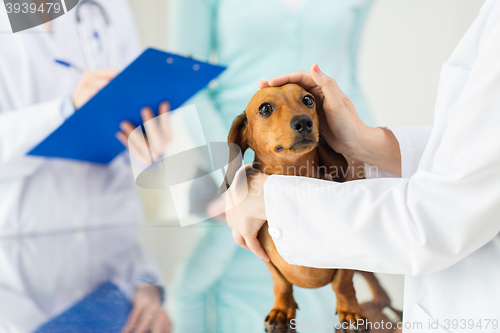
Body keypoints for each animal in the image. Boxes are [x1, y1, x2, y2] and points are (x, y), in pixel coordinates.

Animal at [220, 83, 386, 332]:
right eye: (265, 108)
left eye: (308, 100)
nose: (304, 122)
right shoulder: (264, 255)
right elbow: (280, 283)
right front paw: (282, 309)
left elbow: (342, 284)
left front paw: (350, 312)